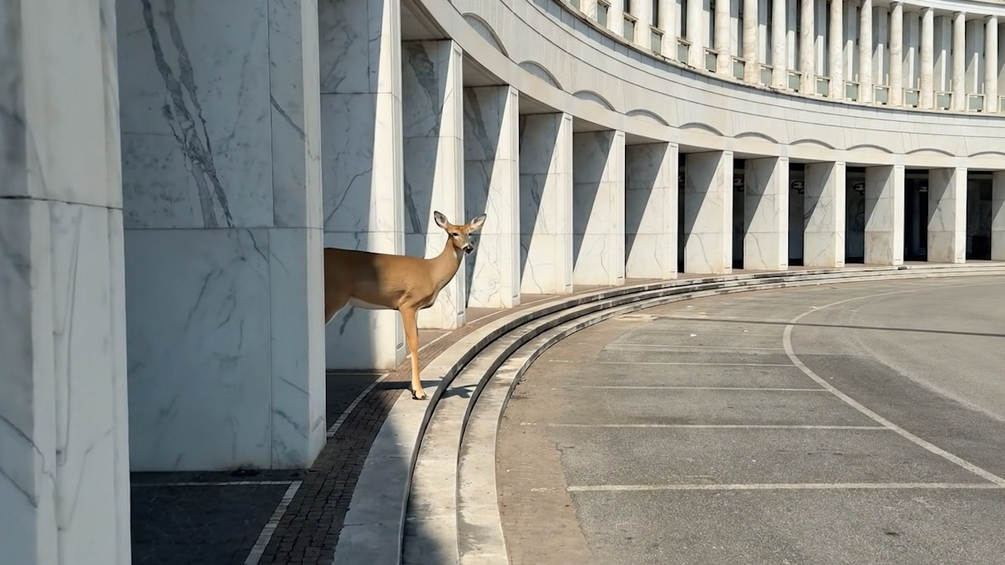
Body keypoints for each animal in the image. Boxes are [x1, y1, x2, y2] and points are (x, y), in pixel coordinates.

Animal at [323, 211, 487, 400]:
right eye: (454, 233)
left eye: (470, 232)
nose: (469, 248)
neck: (432, 272)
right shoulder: (407, 303)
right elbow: (414, 342)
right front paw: (419, 392)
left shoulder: (416, 308)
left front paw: (415, 388)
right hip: (332, 298)